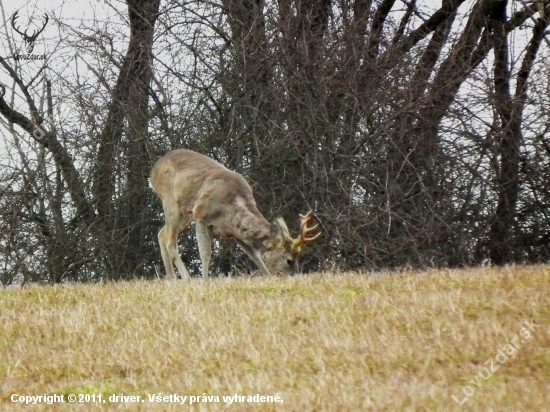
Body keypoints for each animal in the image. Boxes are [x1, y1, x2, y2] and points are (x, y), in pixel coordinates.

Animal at [149, 148, 322, 280]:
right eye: (289, 260)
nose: (293, 276)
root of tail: (153, 172)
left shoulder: (234, 231)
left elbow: (255, 255)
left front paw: (268, 277)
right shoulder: (201, 214)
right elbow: (205, 253)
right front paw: (205, 281)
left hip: (184, 213)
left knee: (161, 233)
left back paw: (172, 279)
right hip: (171, 203)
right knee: (170, 242)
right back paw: (187, 279)